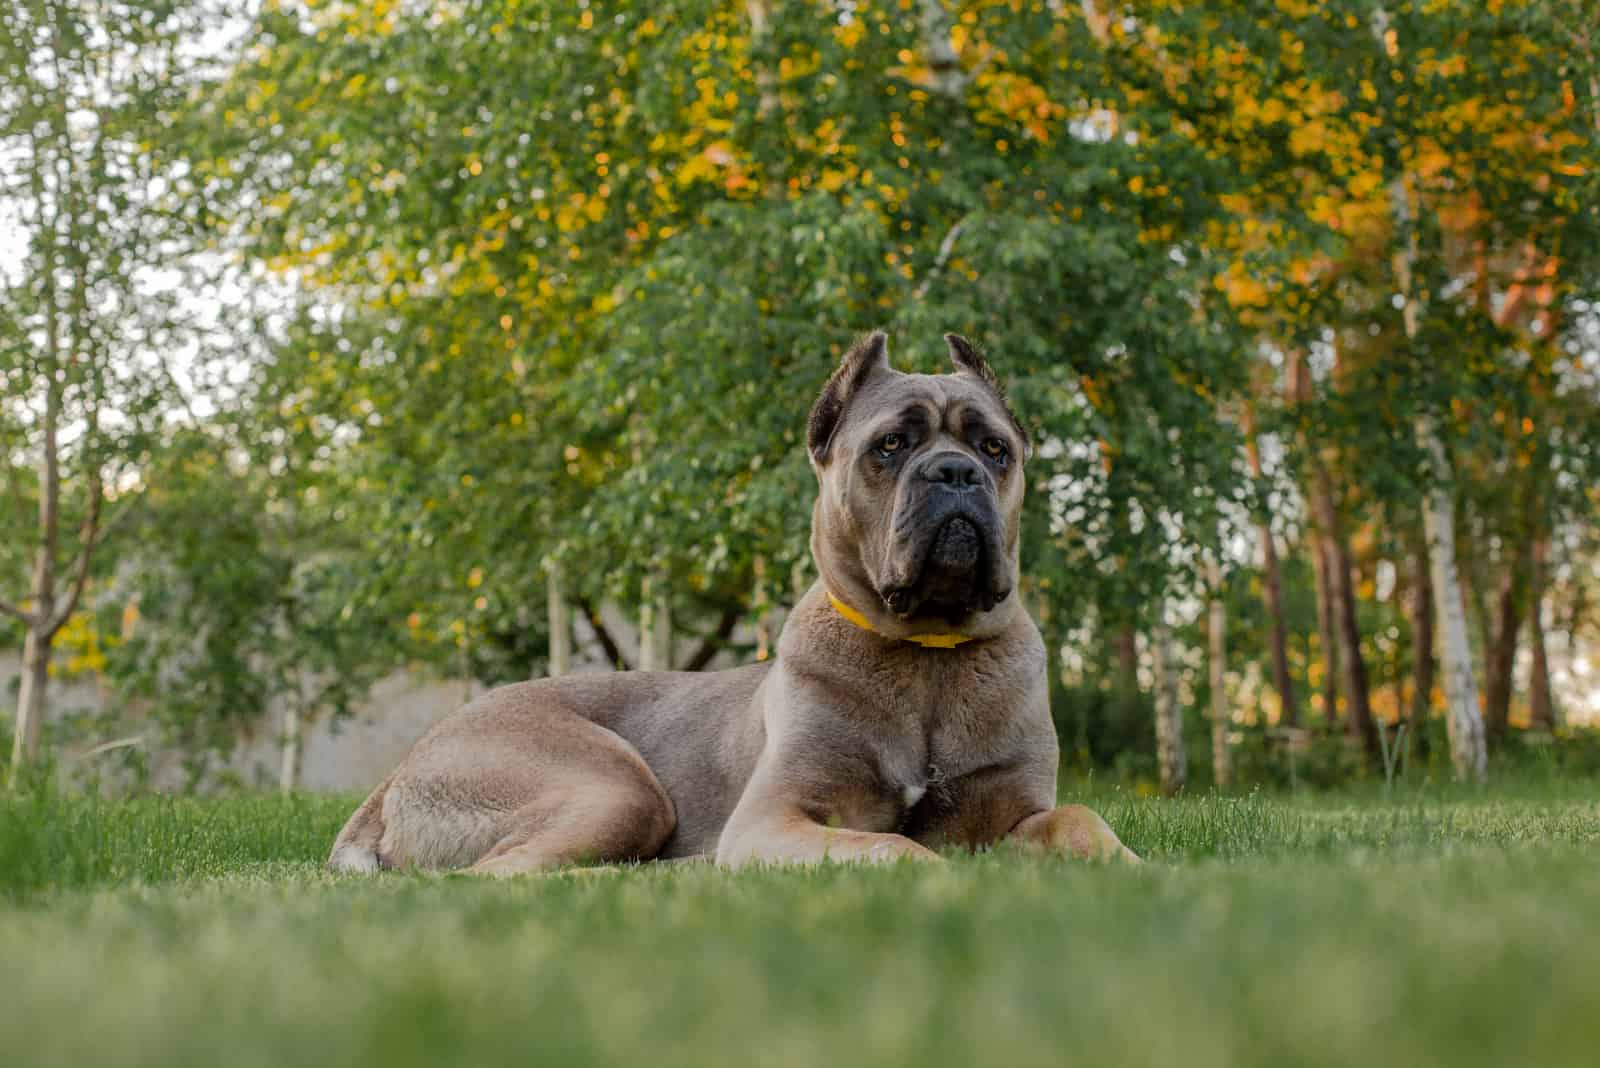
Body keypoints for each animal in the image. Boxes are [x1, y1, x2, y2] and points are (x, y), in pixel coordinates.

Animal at [331, 334, 1139, 876]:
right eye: (891, 444)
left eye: (995, 449)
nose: (955, 473)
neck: (927, 656)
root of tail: (404, 766)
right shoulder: (775, 816)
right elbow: (891, 844)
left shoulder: (1017, 810)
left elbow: (1079, 818)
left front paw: (1134, 868)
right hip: (612, 786)